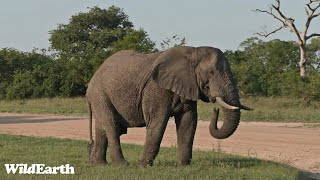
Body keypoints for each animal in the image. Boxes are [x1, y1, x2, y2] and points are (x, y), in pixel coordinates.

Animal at [86, 46, 251, 166]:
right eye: (210, 72)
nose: (216, 109)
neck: (193, 51)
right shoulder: (156, 89)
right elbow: (157, 123)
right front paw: (142, 165)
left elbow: (188, 122)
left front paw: (183, 166)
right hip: (100, 94)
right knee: (112, 127)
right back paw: (122, 164)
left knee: (102, 129)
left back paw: (98, 163)